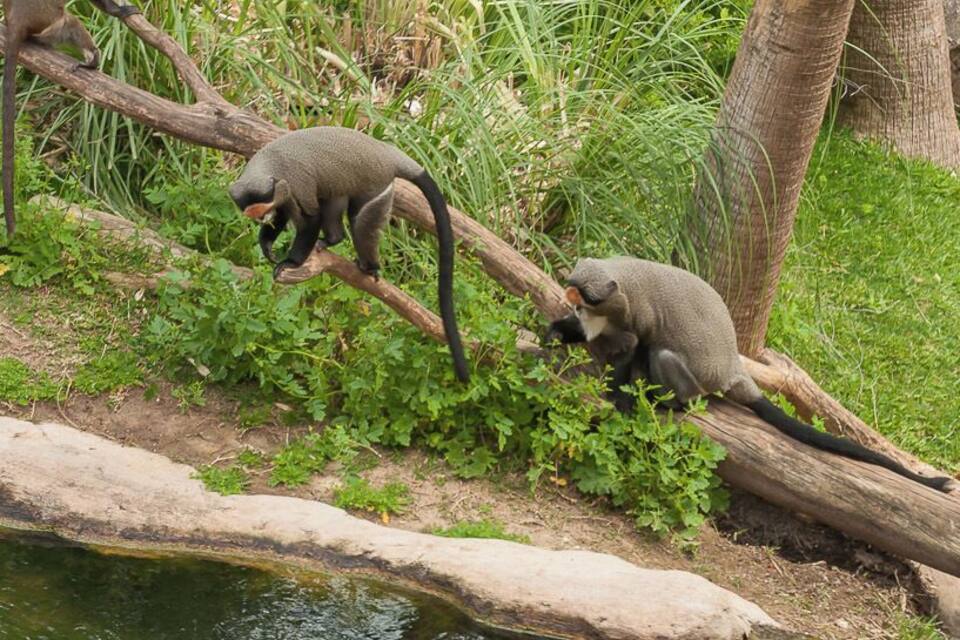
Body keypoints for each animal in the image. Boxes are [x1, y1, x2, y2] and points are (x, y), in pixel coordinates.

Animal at [228, 126, 470, 383]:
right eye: (256, 214)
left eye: (263, 210)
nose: (264, 219)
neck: (269, 164)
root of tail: (387, 153)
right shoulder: (283, 193)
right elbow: (284, 214)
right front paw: (266, 244)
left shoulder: (295, 183)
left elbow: (311, 218)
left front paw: (291, 261)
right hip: (340, 186)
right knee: (331, 203)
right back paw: (333, 239)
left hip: (376, 189)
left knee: (362, 224)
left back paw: (370, 266)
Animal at [544, 256, 957, 493]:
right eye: (574, 290)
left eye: (588, 297)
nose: (574, 304)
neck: (621, 279)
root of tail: (733, 372)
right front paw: (555, 332)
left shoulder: (630, 315)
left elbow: (633, 346)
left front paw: (619, 394)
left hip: (695, 378)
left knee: (663, 357)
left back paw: (673, 403)